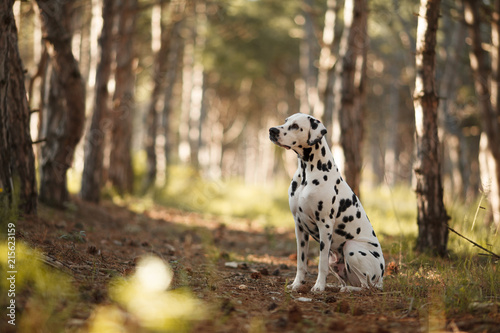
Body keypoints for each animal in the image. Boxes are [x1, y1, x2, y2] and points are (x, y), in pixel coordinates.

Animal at [270, 113, 382, 290]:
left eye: (295, 126)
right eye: (285, 121)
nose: (272, 130)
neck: (306, 173)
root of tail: (382, 279)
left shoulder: (325, 225)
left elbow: (320, 263)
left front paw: (318, 287)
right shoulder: (299, 226)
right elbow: (301, 262)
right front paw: (296, 284)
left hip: (351, 248)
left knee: (366, 285)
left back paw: (347, 289)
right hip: (334, 261)